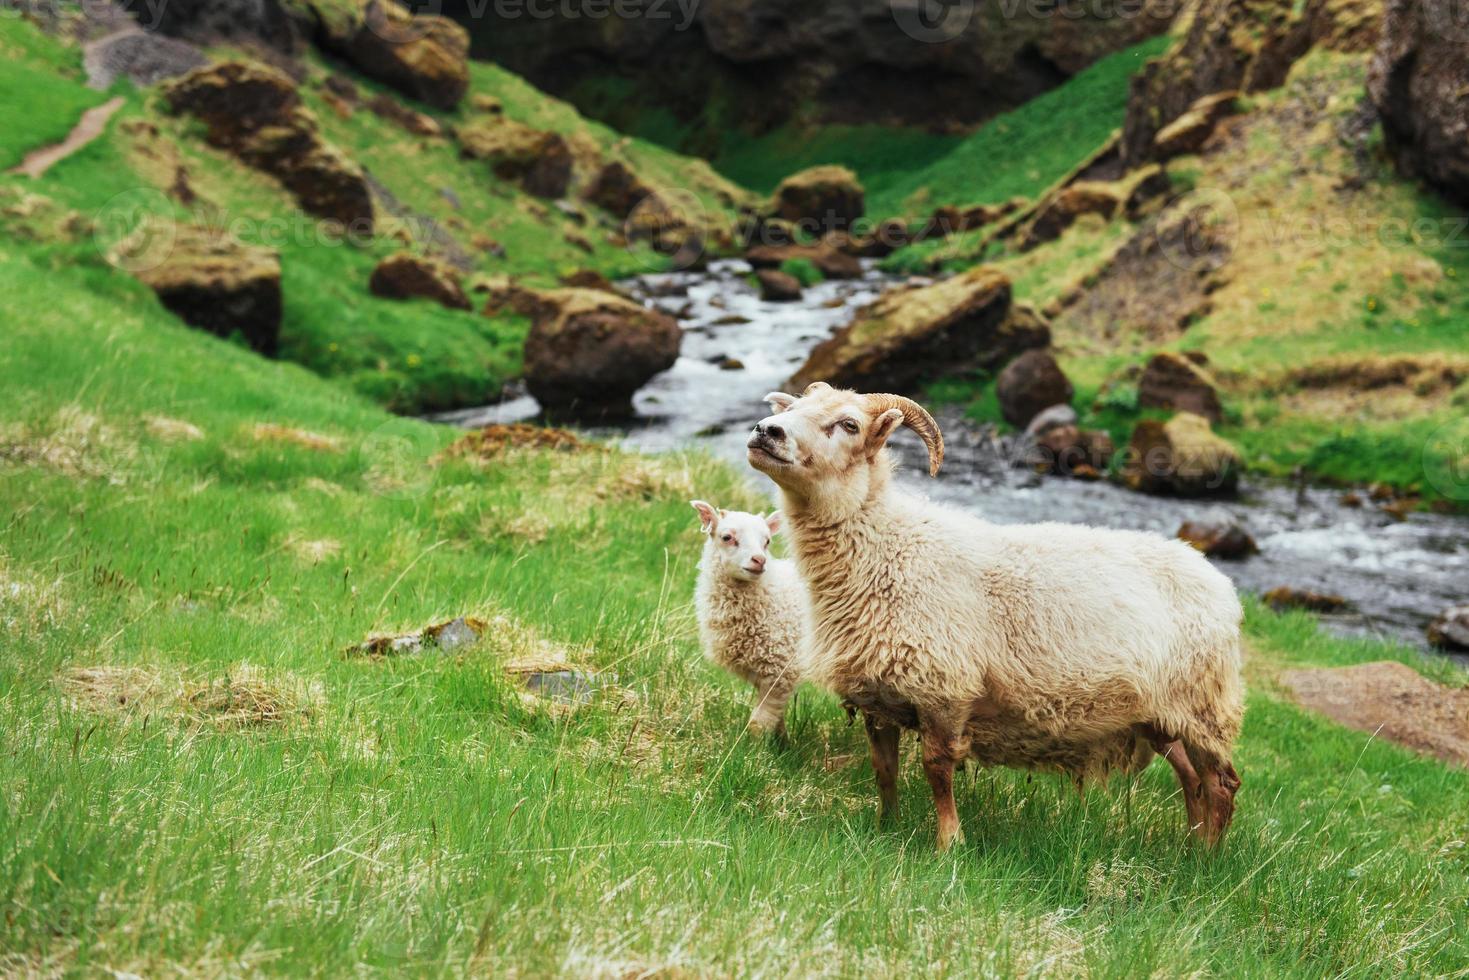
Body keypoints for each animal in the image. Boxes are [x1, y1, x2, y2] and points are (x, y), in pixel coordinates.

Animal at [690, 502, 810, 740]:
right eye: (727, 537)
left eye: (767, 541)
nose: (759, 560)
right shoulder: (766, 673)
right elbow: (774, 717)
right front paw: (782, 741)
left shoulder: (781, 666)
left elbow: (758, 724)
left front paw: (753, 748)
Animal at [746, 382, 1239, 852]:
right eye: (793, 408)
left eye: (849, 424)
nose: (767, 430)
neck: (888, 547)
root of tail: (1217, 581)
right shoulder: (877, 694)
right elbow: (883, 768)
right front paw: (885, 828)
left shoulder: (945, 690)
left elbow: (936, 769)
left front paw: (949, 844)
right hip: (1163, 717)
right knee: (1191, 779)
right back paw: (1190, 846)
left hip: (1204, 708)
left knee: (1221, 784)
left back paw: (1206, 860)